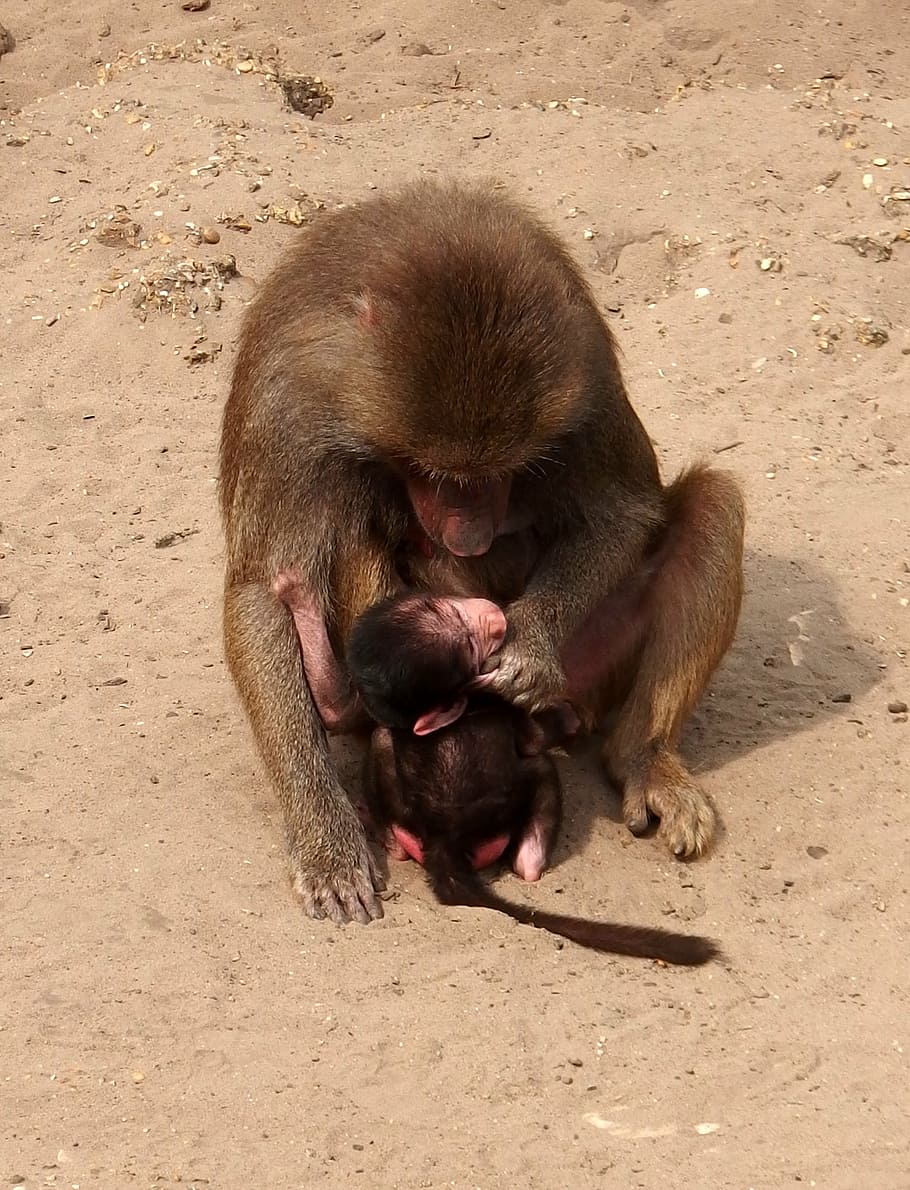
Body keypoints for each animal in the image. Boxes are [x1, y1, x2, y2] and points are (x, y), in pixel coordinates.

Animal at [220, 179, 745, 924]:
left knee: (713, 505)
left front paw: (527, 645)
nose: (468, 533)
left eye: (502, 470)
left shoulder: (581, 359)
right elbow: (264, 586)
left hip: (593, 672)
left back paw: (642, 761)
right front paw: (325, 839)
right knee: (348, 524)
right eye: (432, 474)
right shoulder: (288, 404)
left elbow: (621, 514)